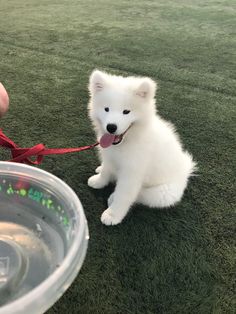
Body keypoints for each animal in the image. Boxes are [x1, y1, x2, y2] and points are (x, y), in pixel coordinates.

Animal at [86, 69, 195, 224]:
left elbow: (124, 195)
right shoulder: (109, 156)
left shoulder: (132, 173)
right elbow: (106, 170)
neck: (128, 140)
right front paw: (99, 181)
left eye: (126, 111)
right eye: (106, 109)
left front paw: (113, 215)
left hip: (163, 193)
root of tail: (185, 171)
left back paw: (113, 198)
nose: (111, 127)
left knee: (139, 194)